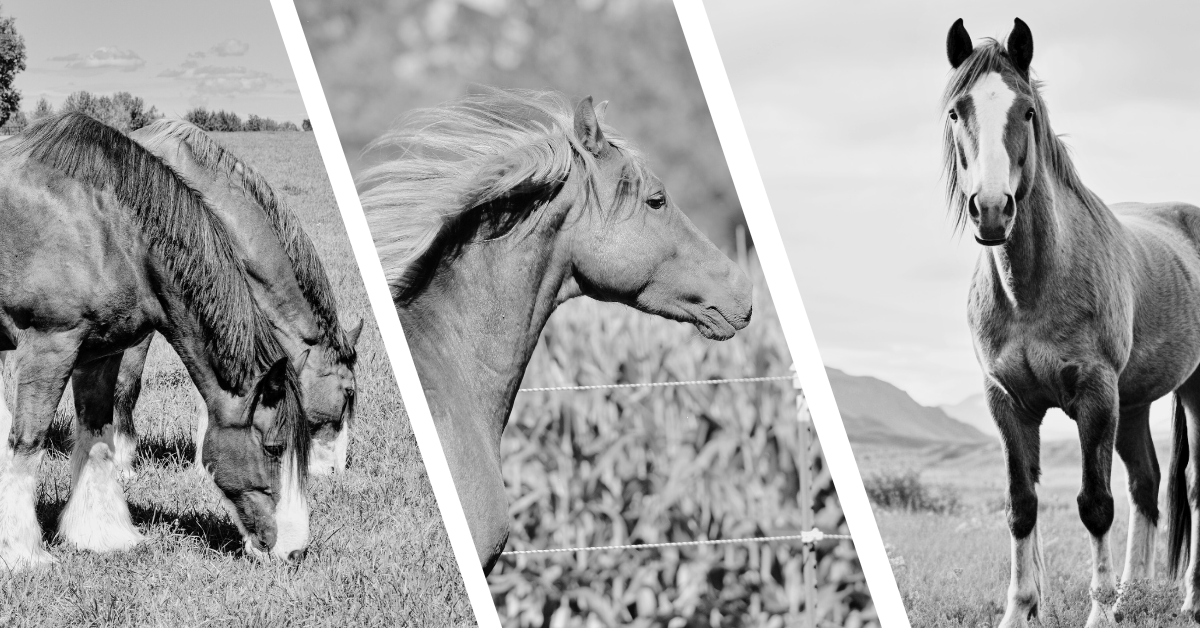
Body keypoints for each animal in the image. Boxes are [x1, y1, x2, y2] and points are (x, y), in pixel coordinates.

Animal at [0, 113, 312, 568]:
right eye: (273, 447)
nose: (295, 549)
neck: (105, 231)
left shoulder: (100, 353)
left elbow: (97, 438)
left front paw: (103, 535)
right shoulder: (50, 346)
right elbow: (27, 443)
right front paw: (22, 555)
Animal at [944, 18, 1200, 625]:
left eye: (1026, 111)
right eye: (957, 111)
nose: (992, 209)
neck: (1031, 289)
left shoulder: (1095, 394)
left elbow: (1095, 505)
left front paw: (1099, 613)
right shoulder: (1008, 401)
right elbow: (1022, 504)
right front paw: (1021, 609)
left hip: (1189, 390)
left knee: (1190, 487)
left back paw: (1188, 598)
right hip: (1135, 402)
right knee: (1146, 483)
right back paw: (1131, 596)